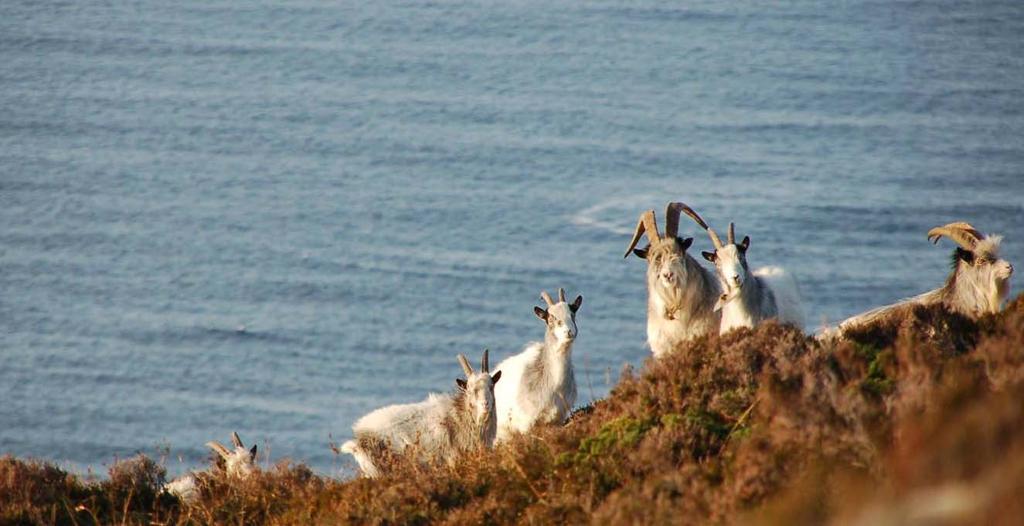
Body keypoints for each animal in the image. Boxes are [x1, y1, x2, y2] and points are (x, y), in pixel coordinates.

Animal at [342, 349, 501, 476]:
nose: (485, 404)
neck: (458, 414)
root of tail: (358, 439)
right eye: (469, 389)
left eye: (492, 385)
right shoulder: (452, 460)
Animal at [491, 286, 581, 442]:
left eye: (572, 313)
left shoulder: (558, 419)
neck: (554, 386)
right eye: (550, 318)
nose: (570, 332)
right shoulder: (526, 424)